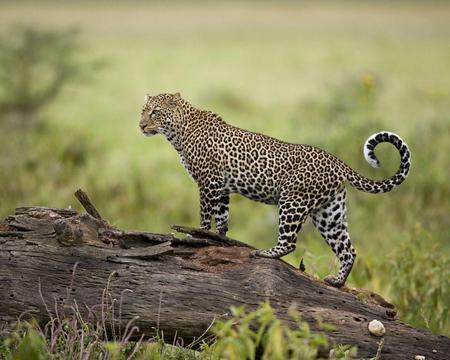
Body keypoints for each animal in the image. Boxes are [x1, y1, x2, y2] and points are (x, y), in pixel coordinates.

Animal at [140, 92, 412, 286]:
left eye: (155, 112)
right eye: (143, 112)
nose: (141, 125)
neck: (178, 133)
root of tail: (337, 162)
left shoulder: (208, 182)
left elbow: (205, 216)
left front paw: (196, 237)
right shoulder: (222, 188)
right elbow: (222, 218)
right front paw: (219, 239)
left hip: (292, 202)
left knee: (290, 242)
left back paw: (266, 253)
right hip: (329, 214)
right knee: (348, 250)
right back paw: (336, 281)